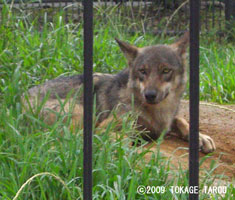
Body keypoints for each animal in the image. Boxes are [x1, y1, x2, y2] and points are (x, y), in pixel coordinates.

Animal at [23, 33, 216, 153]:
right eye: (142, 71)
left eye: (166, 70)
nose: (150, 95)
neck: (156, 112)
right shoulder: (106, 124)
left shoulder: (165, 122)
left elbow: (180, 119)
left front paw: (200, 137)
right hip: (79, 111)